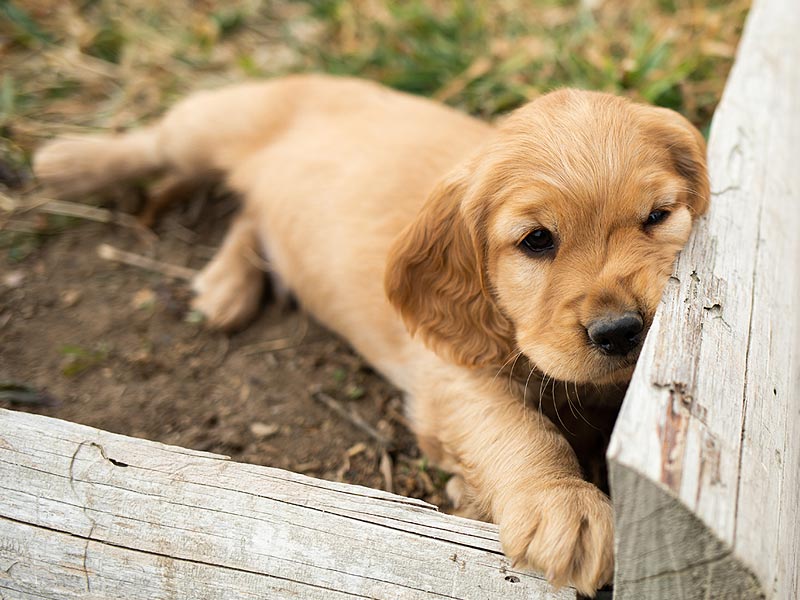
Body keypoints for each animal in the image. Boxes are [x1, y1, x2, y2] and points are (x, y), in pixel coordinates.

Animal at [32, 76, 708, 596]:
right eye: (536, 240)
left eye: (657, 217)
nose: (621, 332)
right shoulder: (450, 376)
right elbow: (517, 429)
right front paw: (564, 505)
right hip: (212, 121)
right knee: (154, 142)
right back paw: (69, 162)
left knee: (251, 213)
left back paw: (226, 288)